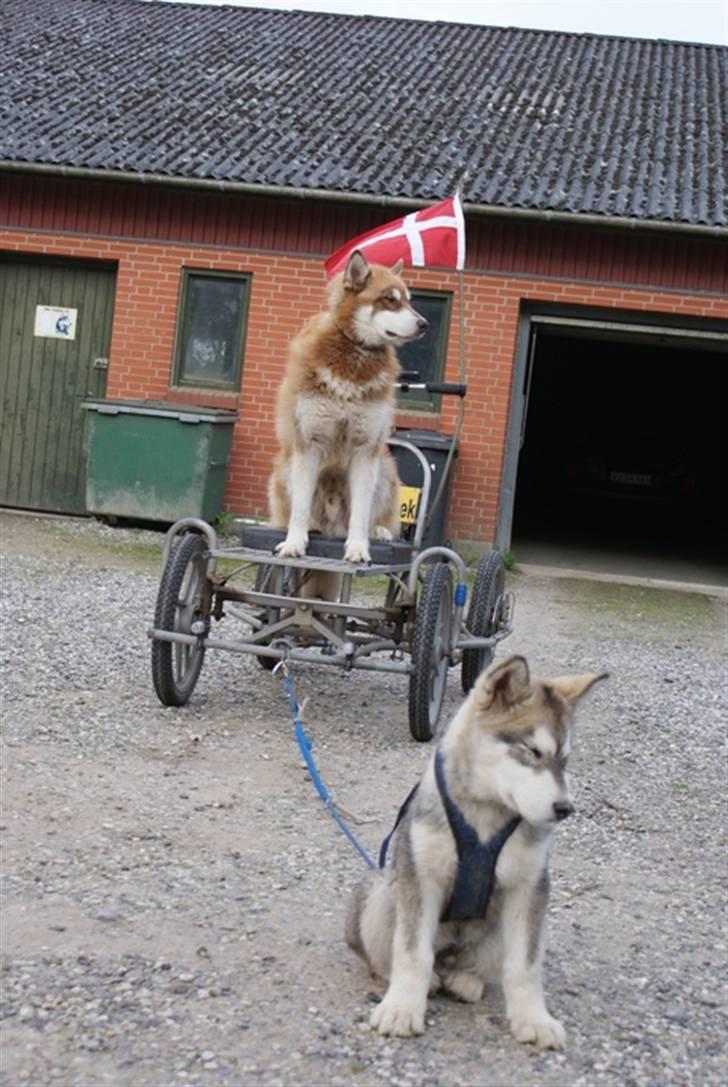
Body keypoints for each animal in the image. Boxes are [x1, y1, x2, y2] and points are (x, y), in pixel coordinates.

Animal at [345, 652, 608, 1043]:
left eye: (564, 760)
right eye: (532, 751)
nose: (565, 808)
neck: (485, 817)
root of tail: (449, 957)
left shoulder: (530, 887)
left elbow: (525, 965)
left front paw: (534, 1019)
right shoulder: (420, 877)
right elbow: (411, 953)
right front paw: (402, 1007)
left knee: (480, 966)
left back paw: (465, 981)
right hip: (380, 896)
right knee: (394, 955)